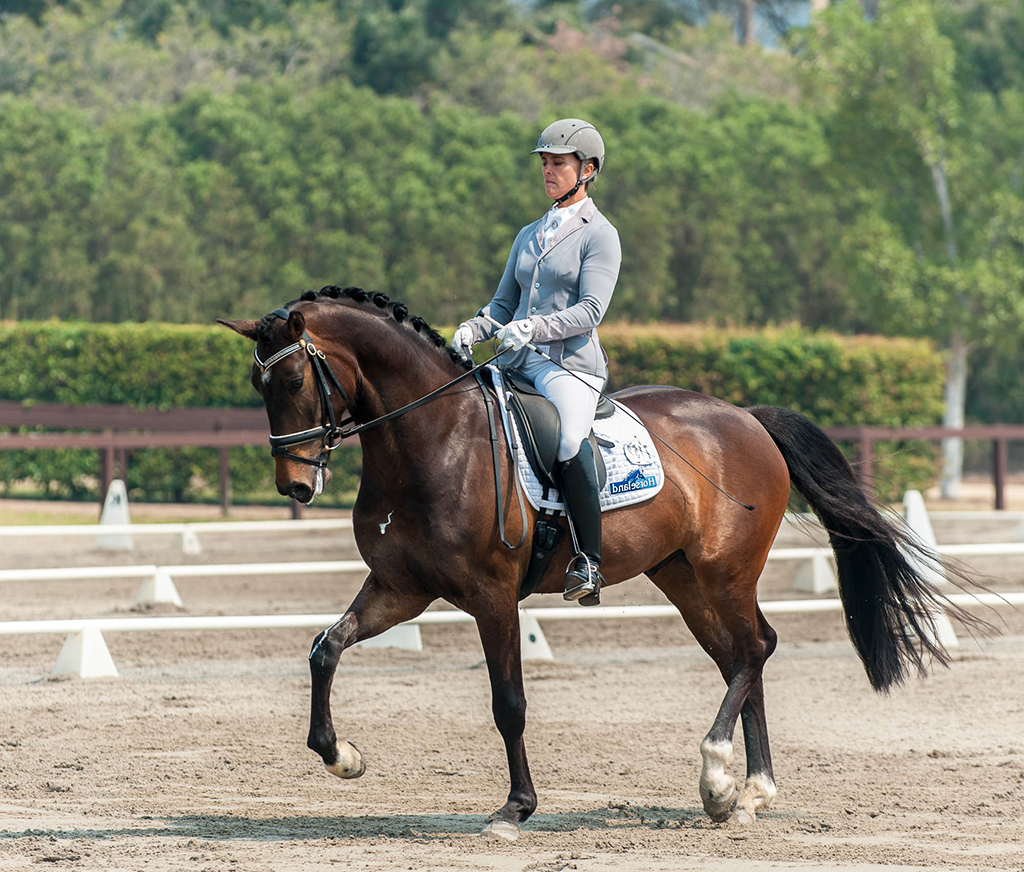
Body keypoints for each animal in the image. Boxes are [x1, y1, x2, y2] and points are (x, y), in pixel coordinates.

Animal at [222, 284, 974, 839]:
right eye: (260, 386)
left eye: (295, 377)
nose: (295, 486)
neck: (431, 442)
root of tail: (745, 417)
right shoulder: (400, 587)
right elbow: (325, 648)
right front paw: (341, 756)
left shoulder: (492, 596)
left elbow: (509, 703)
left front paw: (515, 809)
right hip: (682, 576)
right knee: (742, 654)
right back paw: (744, 795)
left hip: (724, 571)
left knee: (755, 648)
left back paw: (719, 776)